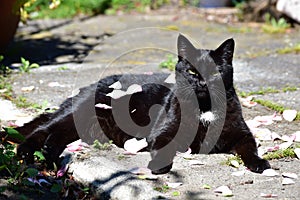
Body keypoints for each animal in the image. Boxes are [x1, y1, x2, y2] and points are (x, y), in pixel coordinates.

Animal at [2, 34, 270, 173]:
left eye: (215, 72)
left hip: (83, 126)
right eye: (192, 72)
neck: (204, 108)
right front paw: (160, 166)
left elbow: (250, 148)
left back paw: (48, 152)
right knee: (43, 128)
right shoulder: (162, 132)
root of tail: (95, 82)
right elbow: (163, 146)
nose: (202, 82)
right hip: (78, 112)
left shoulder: (242, 133)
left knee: (57, 134)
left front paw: (259, 164)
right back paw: (26, 151)